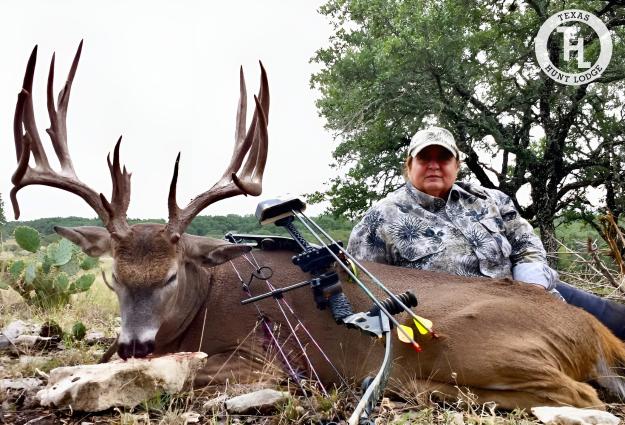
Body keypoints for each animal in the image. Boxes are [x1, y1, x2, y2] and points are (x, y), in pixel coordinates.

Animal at [8, 42, 624, 408]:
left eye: (170, 276)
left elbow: (175, 370)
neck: (201, 299)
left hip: (479, 345)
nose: (134, 341)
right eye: (113, 277)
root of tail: (595, 333)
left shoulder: (259, 364)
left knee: (583, 399)